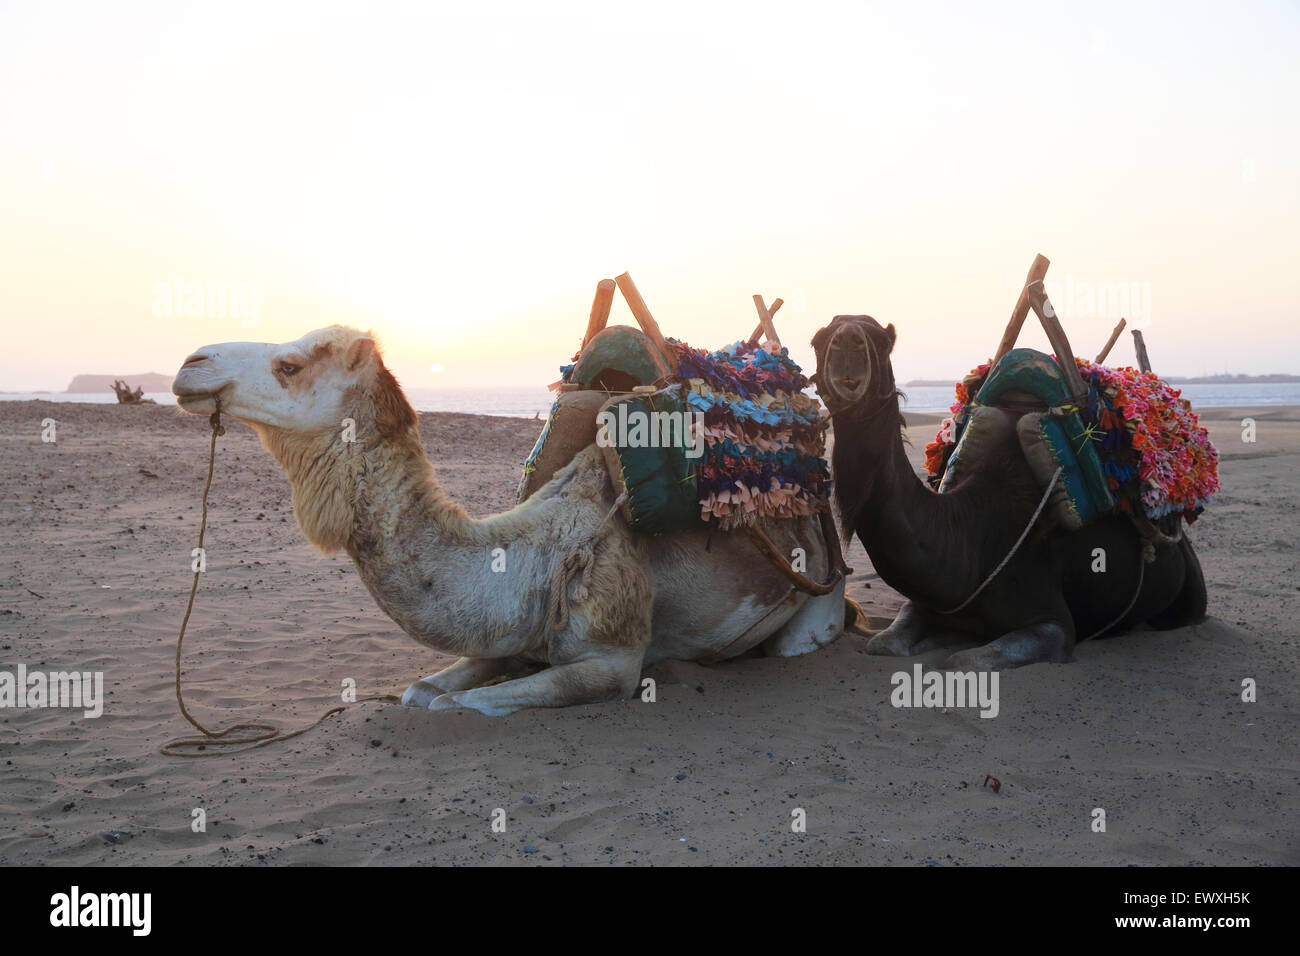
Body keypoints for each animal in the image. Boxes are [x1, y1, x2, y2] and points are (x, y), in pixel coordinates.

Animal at [171, 325, 846, 715]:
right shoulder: (512, 632)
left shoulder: (613, 659)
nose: (191, 362)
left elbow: (461, 706)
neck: (532, 554)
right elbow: (425, 692)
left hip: (819, 594)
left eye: (291, 365)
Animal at [810, 315, 1207, 670]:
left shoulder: (1053, 622)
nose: (848, 342)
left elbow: (962, 660)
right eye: (818, 340)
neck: (970, 532)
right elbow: (884, 643)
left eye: (881, 341)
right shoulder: (926, 603)